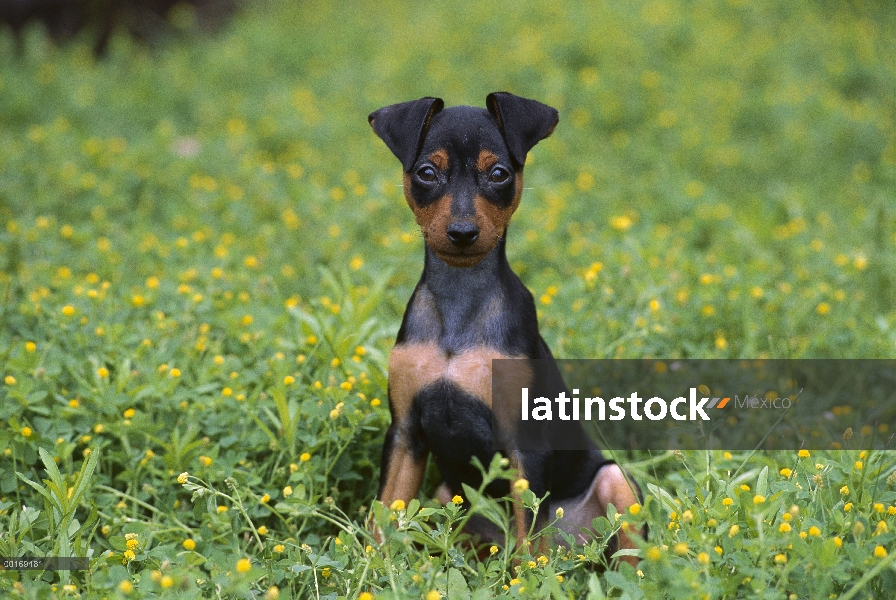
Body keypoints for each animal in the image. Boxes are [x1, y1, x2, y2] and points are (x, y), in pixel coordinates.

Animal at [368, 94, 640, 564]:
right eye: (426, 173)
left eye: (499, 174)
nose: (462, 232)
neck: (460, 304)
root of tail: (575, 548)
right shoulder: (404, 434)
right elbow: (384, 515)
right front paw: (370, 569)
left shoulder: (523, 445)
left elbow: (529, 538)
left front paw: (528, 577)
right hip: (448, 496)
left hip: (614, 481)